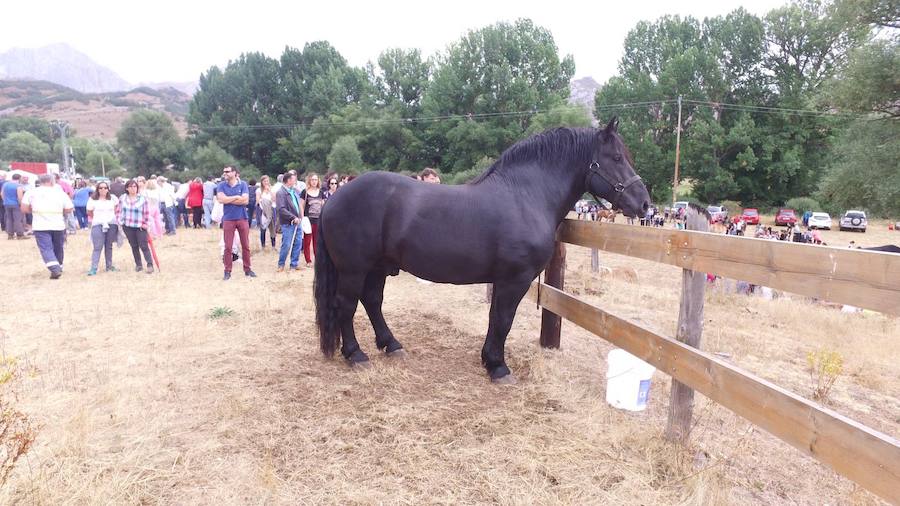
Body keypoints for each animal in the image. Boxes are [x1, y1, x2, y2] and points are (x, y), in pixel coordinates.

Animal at [312, 119, 652, 380]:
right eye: (616, 157)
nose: (645, 204)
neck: (525, 196)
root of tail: (335, 197)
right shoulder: (515, 279)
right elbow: (503, 319)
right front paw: (498, 367)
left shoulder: (503, 280)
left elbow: (495, 318)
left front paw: (489, 359)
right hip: (354, 269)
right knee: (346, 305)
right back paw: (355, 354)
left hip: (378, 267)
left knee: (372, 301)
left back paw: (391, 344)